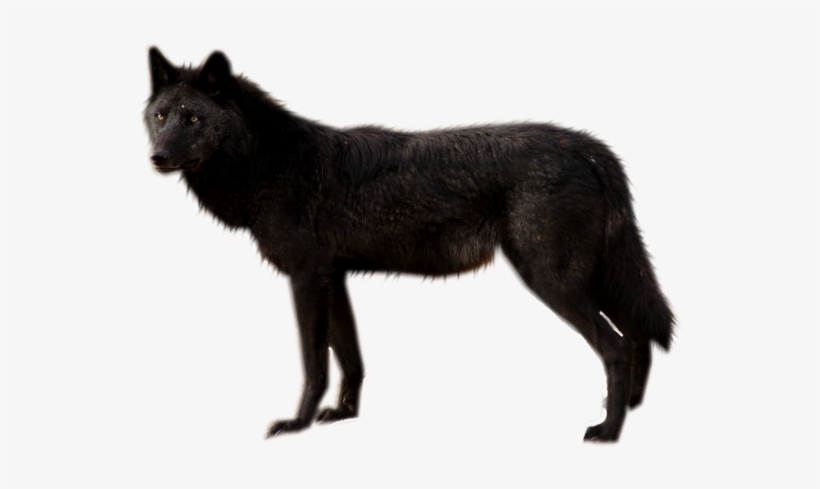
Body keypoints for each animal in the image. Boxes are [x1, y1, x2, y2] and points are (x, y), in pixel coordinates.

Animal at [144, 47, 674, 442]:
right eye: (161, 115)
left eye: (193, 118)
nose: (157, 157)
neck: (269, 163)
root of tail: (588, 147)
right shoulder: (332, 277)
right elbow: (350, 358)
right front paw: (343, 415)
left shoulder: (305, 278)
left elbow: (315, 363)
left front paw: (297, 424)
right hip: (593, 279)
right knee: (638, 335)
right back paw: (625, 411)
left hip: (553, 281)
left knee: (617, 346)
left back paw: (607, 431)